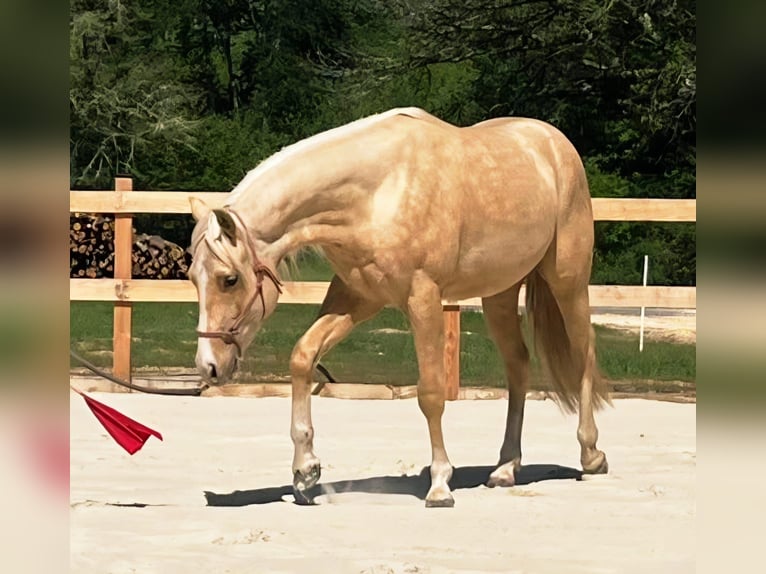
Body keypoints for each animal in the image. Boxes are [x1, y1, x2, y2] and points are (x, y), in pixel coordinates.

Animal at [188, 107, 611, 507]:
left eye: (229, 279)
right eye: (193, 277)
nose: (208, 366)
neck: (375, 194)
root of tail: (554, 142)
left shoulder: (423, 298)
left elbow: (431, 393)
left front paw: (440, 485)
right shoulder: (357, 297)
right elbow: (303, 357)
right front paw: (305, 472)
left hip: (568, 282)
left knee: (584, 352)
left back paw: (591, 455)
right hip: (500, 292)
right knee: (518, 364)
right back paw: (506, 467)